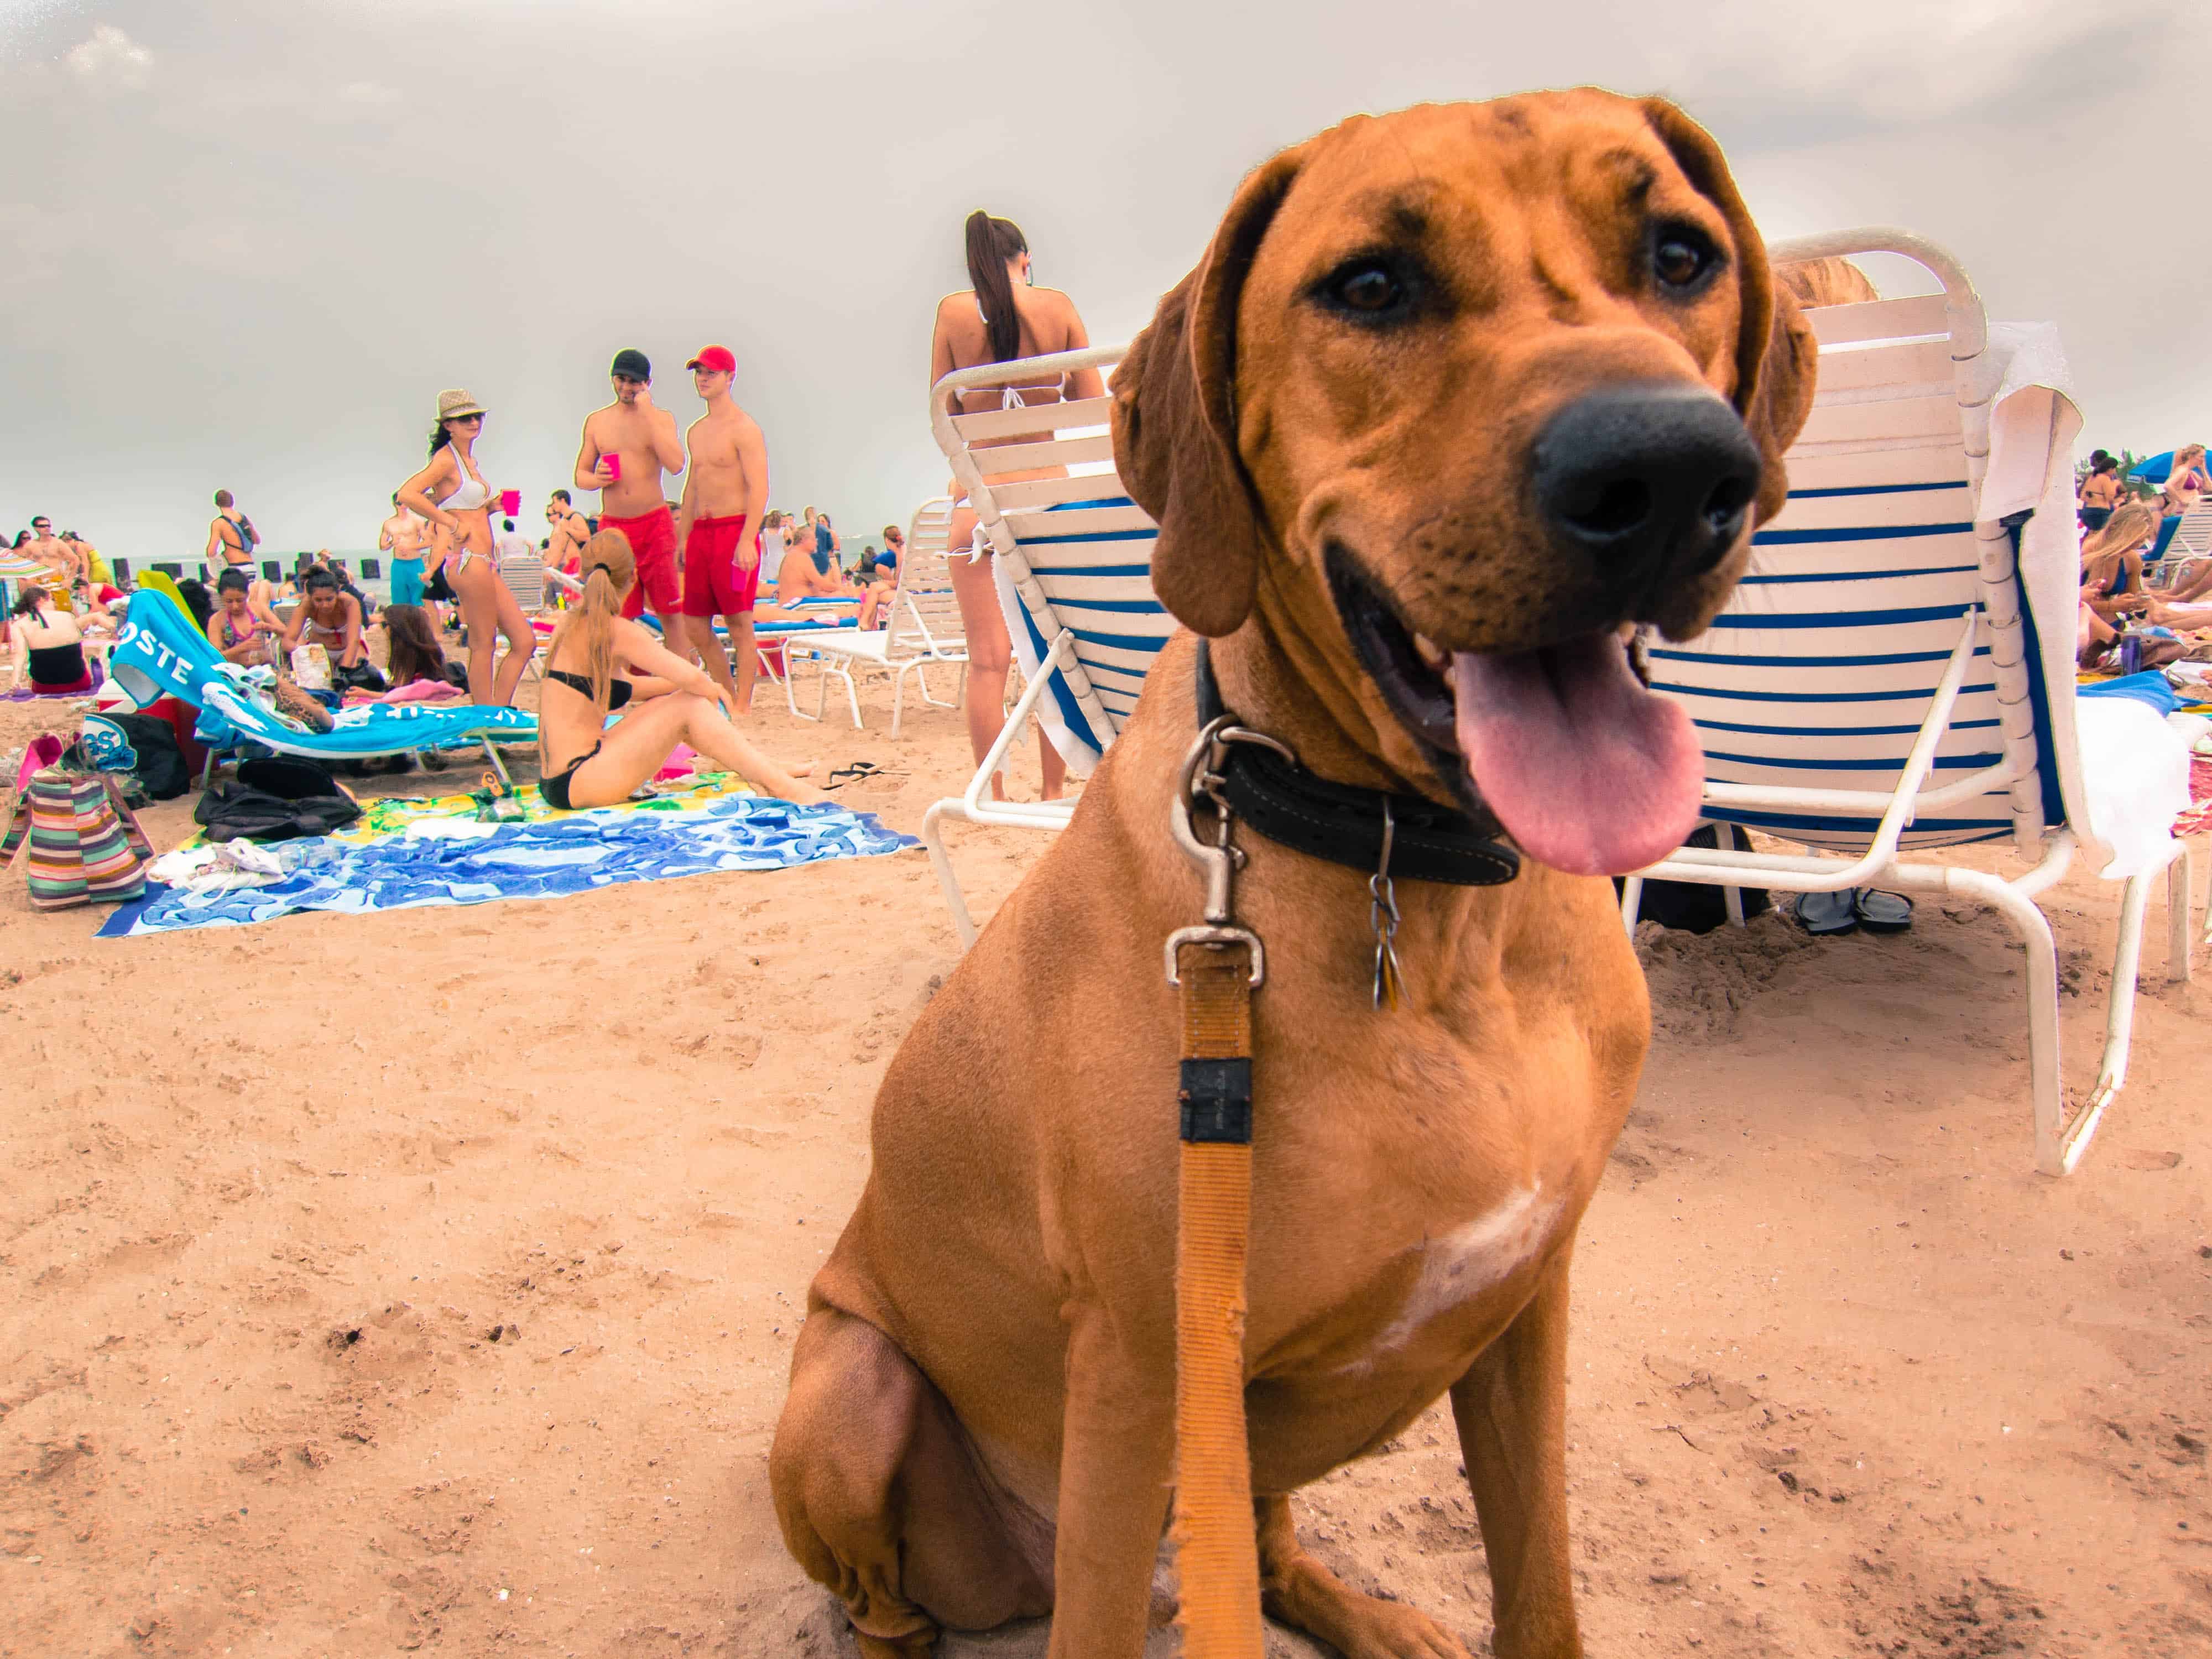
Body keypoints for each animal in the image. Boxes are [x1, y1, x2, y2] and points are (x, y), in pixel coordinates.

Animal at [770, 94, 1805, 1659]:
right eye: (1370, 285)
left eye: (1681, 254)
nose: (1672, 471)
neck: (1431, 900)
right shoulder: (1142, 1363)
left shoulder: (1528, 1302)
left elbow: (1541, 1586)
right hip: (851, 1391)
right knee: (903, 1598)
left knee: (1254, 1546)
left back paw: (1357, 1611)